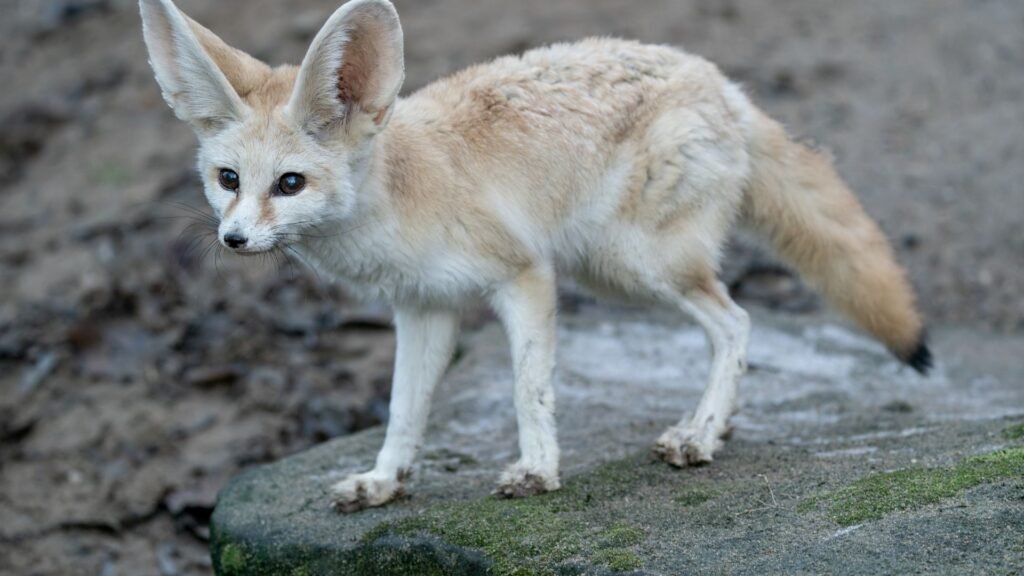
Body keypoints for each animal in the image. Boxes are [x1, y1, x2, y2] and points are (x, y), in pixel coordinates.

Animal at [139, 0, 932, 513]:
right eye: (229, 180)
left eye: (290, 183)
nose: (234, 240)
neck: (402, 195)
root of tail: (721, 82)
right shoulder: (423, 308)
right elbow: (403, 410)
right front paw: (385, 481)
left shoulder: (525, 277)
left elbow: (529, 388)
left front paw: (537, 470)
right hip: (615, 271)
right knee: (730, 325)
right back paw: (721, 422)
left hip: (633, 267)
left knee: (736, 322)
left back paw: (701, 433)